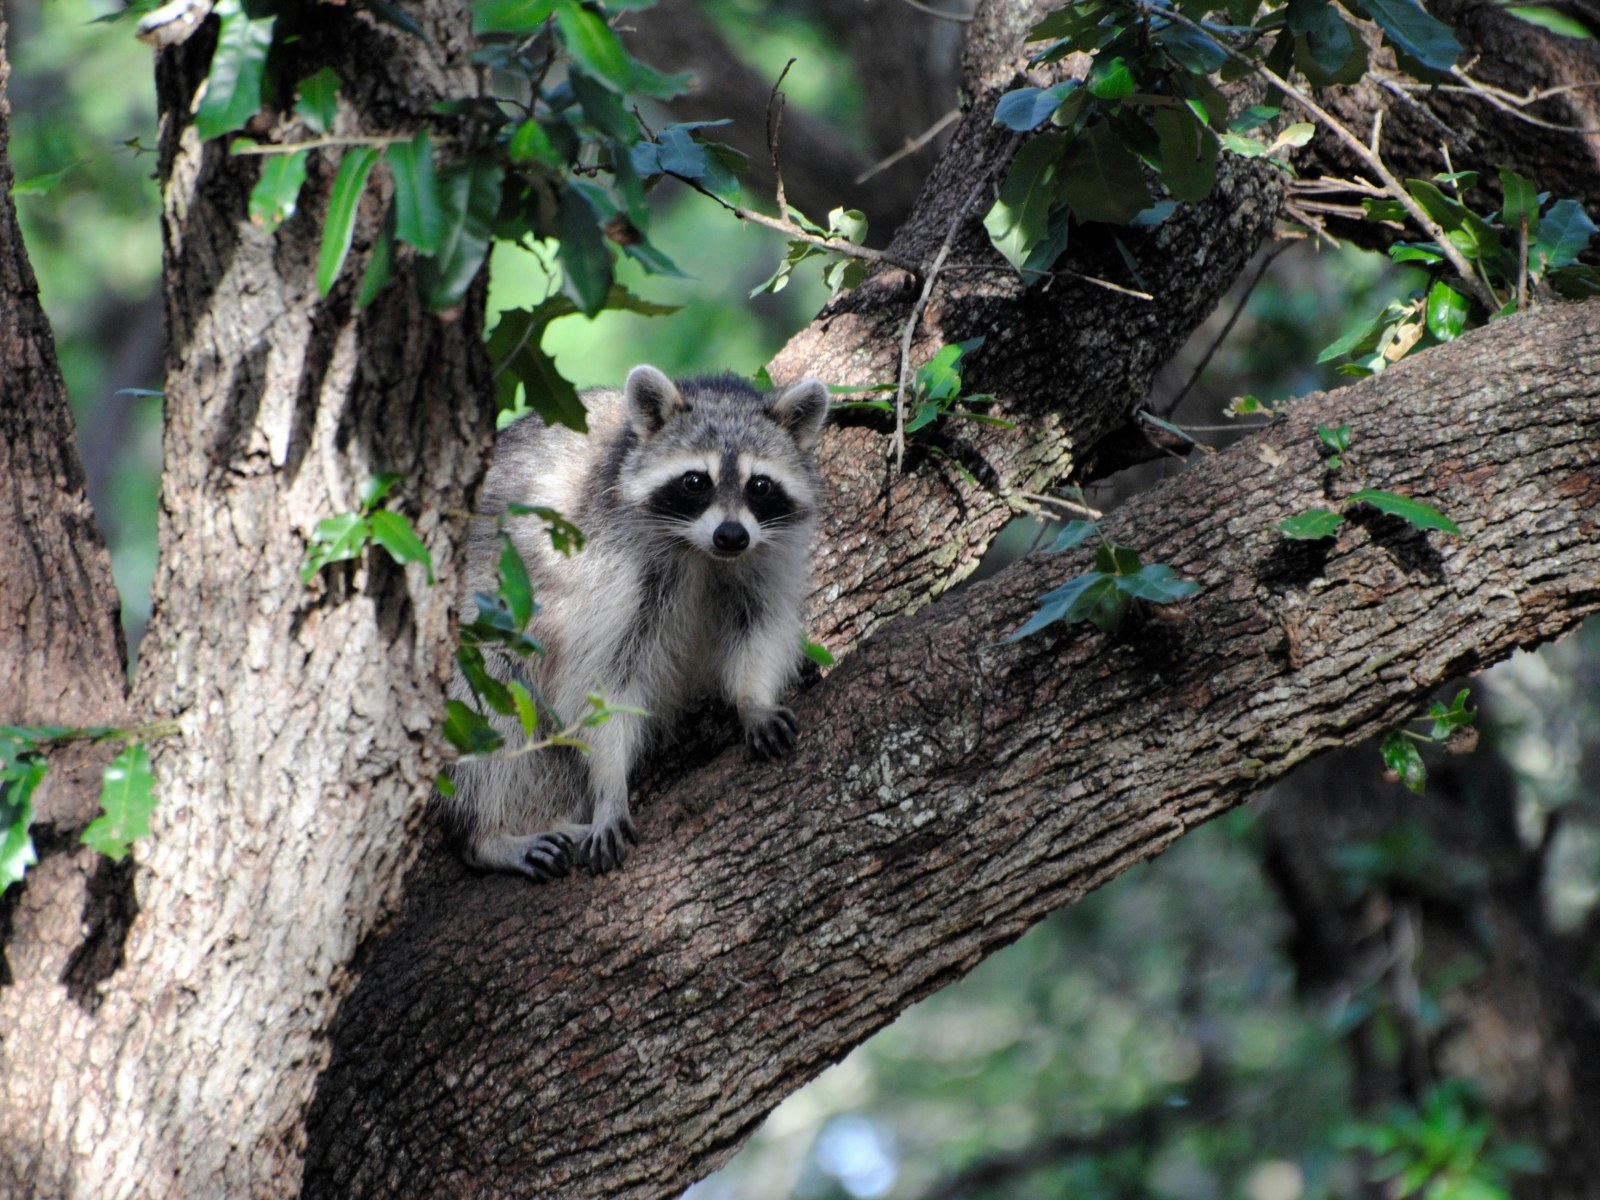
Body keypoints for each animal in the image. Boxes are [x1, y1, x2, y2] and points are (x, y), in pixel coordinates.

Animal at [443, 365, 830, 881]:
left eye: (760, 485)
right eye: (695, 481)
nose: (730, 535)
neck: (702, 553)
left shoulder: (765, 556)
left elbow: (761, 627)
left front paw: (754, 700)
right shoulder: (608, 565)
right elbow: (600, 679)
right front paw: (610, 787)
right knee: (493, 702)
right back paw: (488, 837)